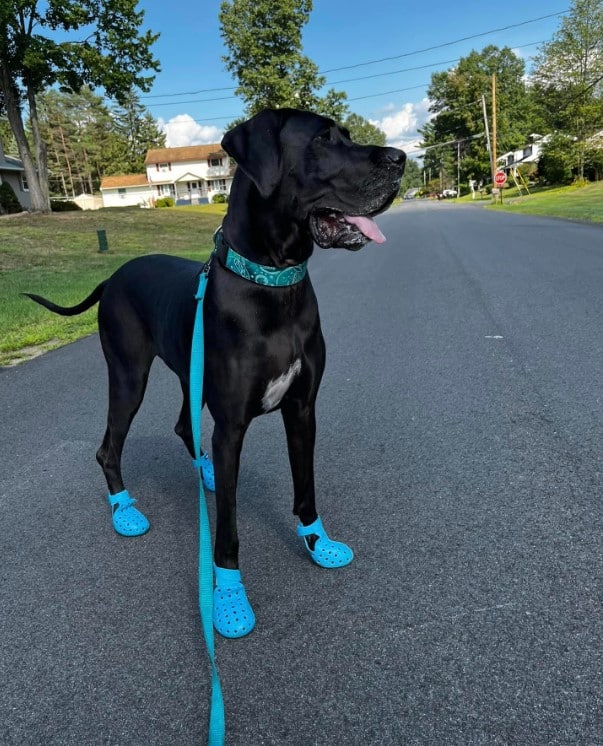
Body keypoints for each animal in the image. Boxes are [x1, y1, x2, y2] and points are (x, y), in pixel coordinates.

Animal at [27, 107, 406, 636]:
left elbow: (305, 486)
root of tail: (112, 277)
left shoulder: (302, 409)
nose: (401, 158)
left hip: (188, 372)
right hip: (128, 377)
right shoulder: (231, 426)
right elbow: (227, 528)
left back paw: (205, 473)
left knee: (184, 426)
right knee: (108, 448)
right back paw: (125, 510)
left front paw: (316, 541)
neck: (273, 283)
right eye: (323, 140)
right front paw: (228, 595)